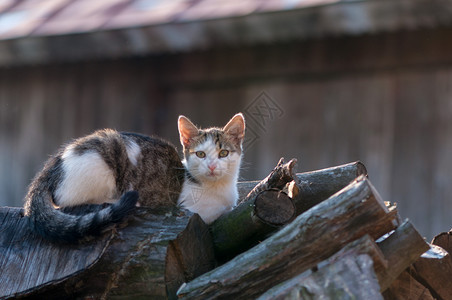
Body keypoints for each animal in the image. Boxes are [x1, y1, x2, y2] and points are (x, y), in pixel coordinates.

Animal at [23, 113, 245, 243]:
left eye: (223, 153)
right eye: (200, 154)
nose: (212, 166)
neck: (217, 189)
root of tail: (52, 166)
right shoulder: (192, 208)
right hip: (105, 153)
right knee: (69, 201)